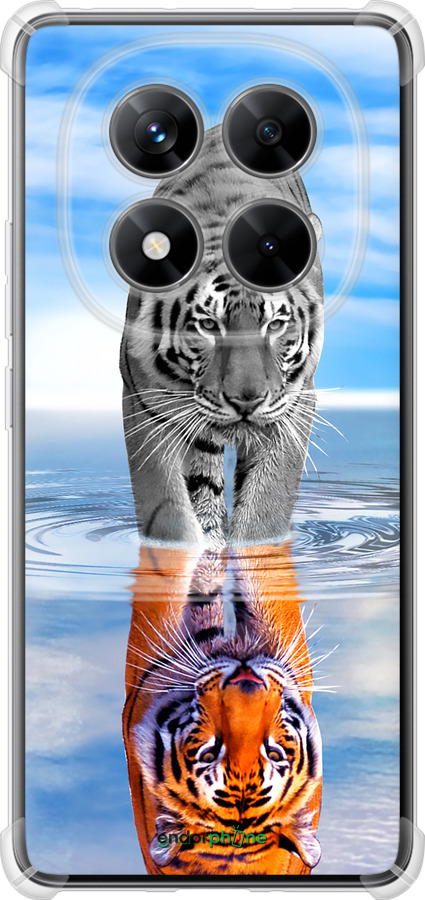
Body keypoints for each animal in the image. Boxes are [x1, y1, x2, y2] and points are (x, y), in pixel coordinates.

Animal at [120, 124, 324, 549]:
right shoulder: (144, 403)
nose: (246, 401)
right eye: (209, 325)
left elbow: (266, 510)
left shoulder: (295, 405)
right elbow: (168, 511)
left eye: (276, 325)